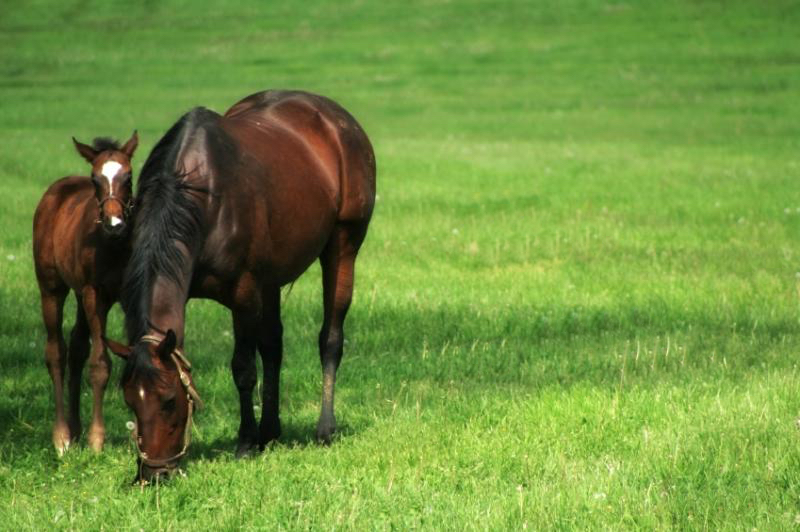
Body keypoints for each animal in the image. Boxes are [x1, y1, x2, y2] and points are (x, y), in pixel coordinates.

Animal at [33, 132, 139, 454]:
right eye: (95, 179)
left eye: (128, 176)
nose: (115, 224)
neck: (114, 246)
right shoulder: (96, 294)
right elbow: (100, 364)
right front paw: (96, 440)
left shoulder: (130, 297)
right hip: (52, 287)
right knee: (56, 351)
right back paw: (62, 436)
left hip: (80, 296)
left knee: (77, 347)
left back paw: (75, 428)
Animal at [104, 90, 375, 482]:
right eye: (129, 399)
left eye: (169, 400)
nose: (153, 475)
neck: (201, 196)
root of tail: (336, 117)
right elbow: (263, 353)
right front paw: (258, 436)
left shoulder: (244, 294)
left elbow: (244, 368)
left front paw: (246, 442)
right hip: (272, 279)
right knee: (274, 346)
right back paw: (271, 431)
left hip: (343, 247)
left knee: (330, 339)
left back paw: (324, 428)